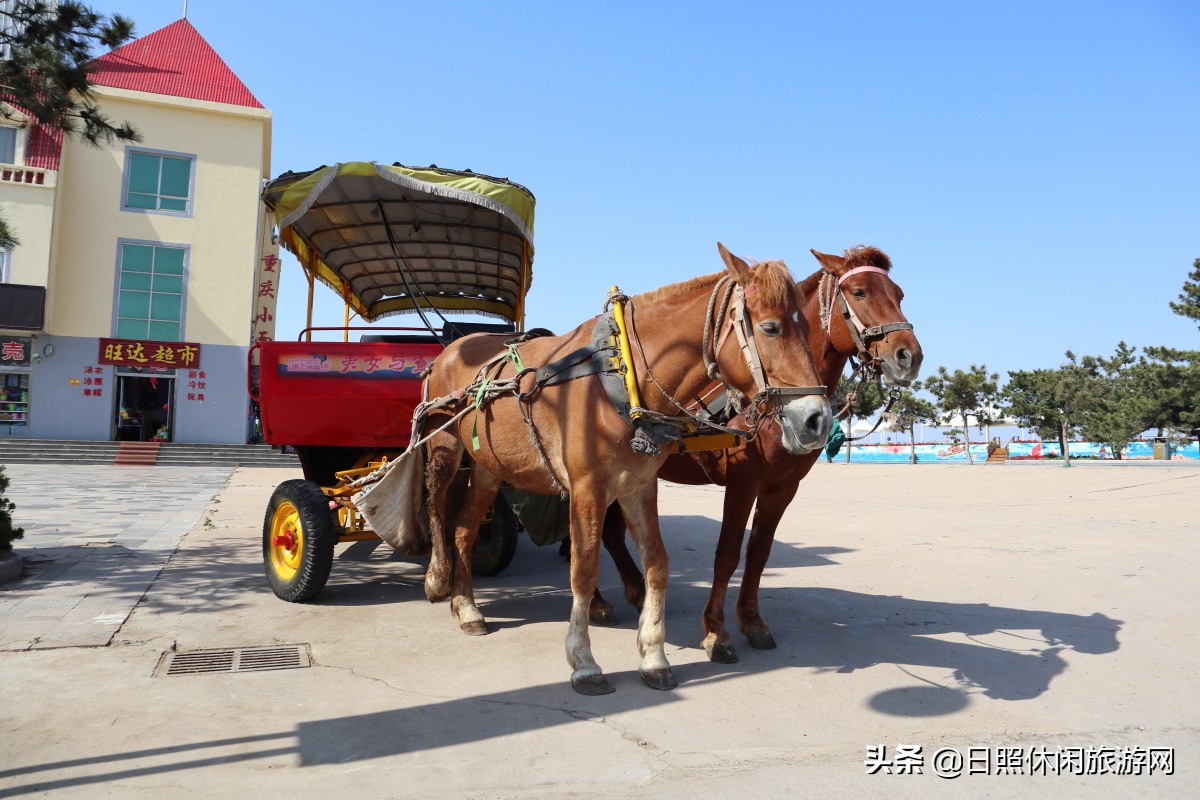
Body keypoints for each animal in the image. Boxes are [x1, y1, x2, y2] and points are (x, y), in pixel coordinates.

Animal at [408, 245, 830, 695]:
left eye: (807, 327)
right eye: (771, 328)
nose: (817, 419)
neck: (620, 376)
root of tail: (450, 349)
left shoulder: (638, 486)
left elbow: (658, 563)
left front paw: (654, 656)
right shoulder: (588, 488)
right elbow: (583, 568)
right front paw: (584, 662)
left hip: (490, 467)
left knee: (465, 528)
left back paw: (467, 608)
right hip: (445, 447)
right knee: (436, 506)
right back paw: (438, 579)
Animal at [595, 244, 921, 662]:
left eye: (899, 294)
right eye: (860, 292)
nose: (909, 356)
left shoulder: (782, 488)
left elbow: (759, 553)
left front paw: (751, 621)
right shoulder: (742, 483)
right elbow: (727, 555)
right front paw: (716, 632)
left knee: (610, 533)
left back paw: (635, 590)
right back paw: (599, 602)